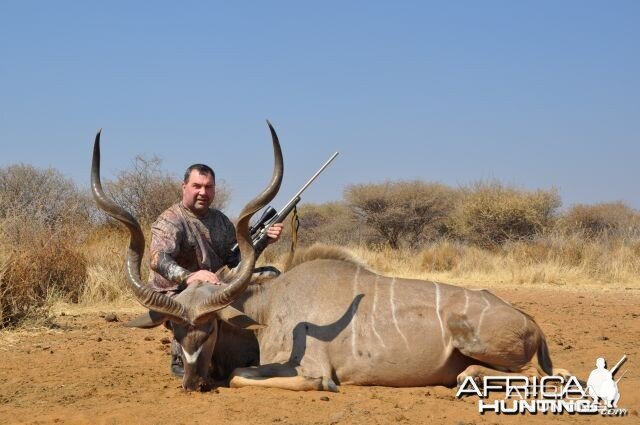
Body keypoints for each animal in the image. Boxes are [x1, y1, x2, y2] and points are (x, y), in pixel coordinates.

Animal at [91, 125, 568, 390]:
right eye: (172, 328)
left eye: (209, 329)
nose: (190, 381)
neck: (269, 307)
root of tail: (530, 321)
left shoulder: (307, 369)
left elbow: (244, 376)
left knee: (519, 376)